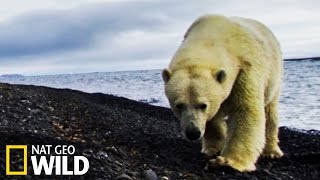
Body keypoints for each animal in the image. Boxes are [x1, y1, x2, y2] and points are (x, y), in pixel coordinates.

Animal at [161, 15, 284, 172]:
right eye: (179, 105)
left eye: (203, 105)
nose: (193, 132)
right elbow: (214, 118)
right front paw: (212, 149)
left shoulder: (245, 71)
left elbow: (245, 111)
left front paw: (228, 161)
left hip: (273, 78)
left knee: (270, 111)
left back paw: (272, 151)